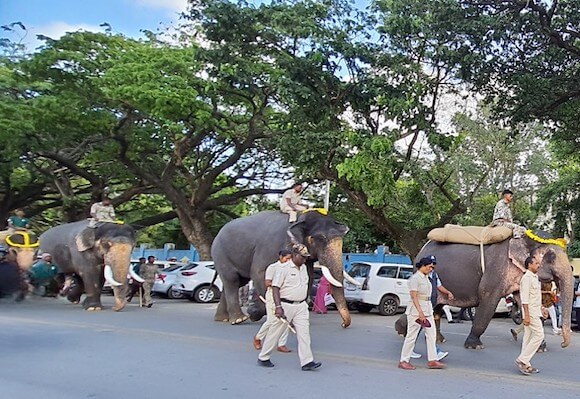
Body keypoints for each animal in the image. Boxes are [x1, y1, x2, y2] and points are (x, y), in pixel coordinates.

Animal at [211, 209, 352, 328]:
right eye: (320, 238)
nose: (343, 325)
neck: (299, 216)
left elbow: (308, 278)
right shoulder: (269, 246)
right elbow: (259, 273)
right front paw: (254, 313)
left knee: (236, 282)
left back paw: (223, 319)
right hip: (220, 254)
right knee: (232, 280)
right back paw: (239, 319)